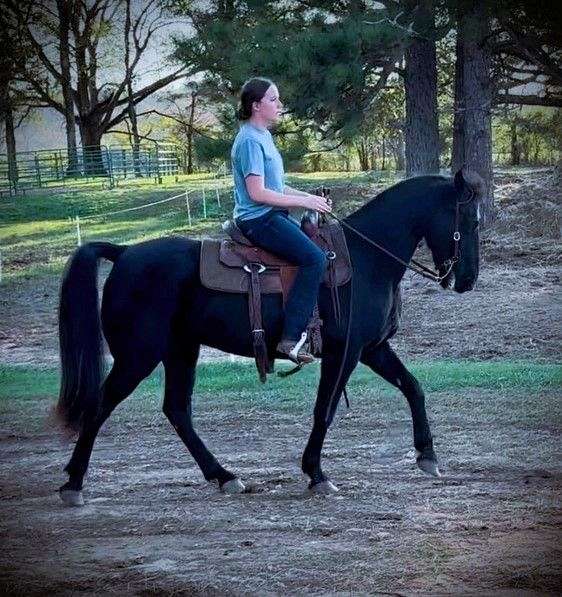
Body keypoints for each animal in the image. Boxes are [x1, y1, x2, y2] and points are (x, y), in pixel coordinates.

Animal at [54, 168, 480, 502]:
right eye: (471, 221)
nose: (467, 280)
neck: (366, 260)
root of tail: (124, 252)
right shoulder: (344, 352)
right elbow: (324, 410)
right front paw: (316, 474)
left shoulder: (372, 348)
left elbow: (413, 387)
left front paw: (427, 456)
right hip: (137, 356)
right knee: (100, 405)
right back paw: (73, 482)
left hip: (180, 350)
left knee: (177, 410)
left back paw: (224, 476)